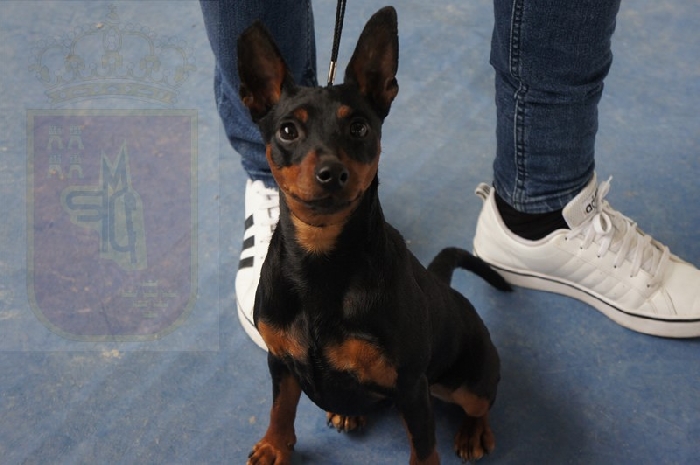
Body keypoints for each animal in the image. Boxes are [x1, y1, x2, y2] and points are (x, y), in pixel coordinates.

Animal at [238, 6, 510, 464]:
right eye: (288, 130)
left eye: (360, 128)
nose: (332, 172)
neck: (321, 260)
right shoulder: (281, 361)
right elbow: (282, 407)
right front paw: (275, 446)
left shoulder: (411, 386)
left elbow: (424, 448)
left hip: (465, 380)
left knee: (483, 400)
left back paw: (474, 431)